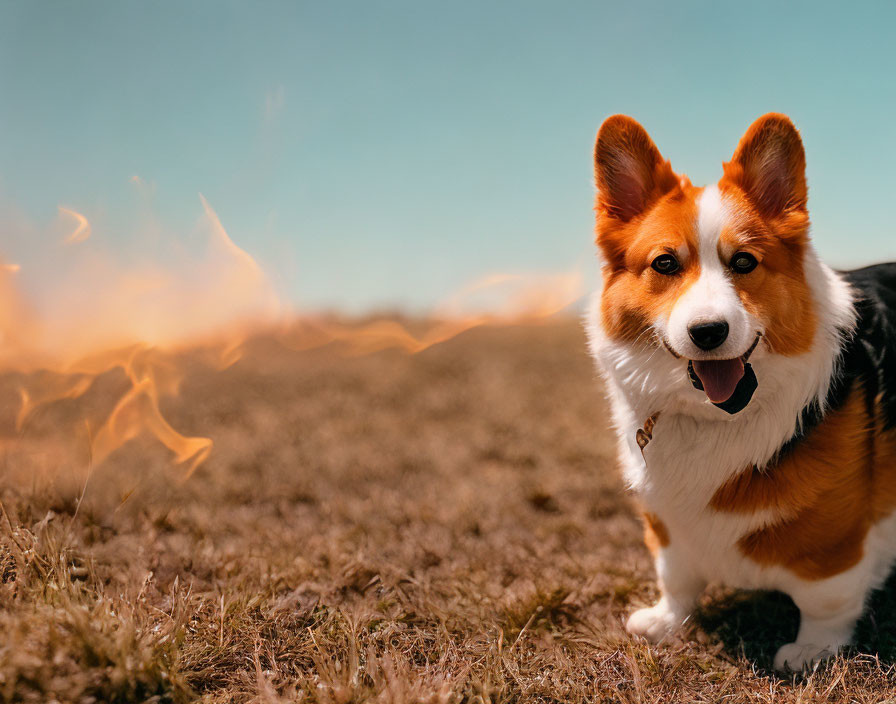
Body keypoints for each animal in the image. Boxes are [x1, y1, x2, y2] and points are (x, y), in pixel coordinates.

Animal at [584, 111, 892, 672]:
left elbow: (826, 600)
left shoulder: (837, 543)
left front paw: (811, 651)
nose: (708, 332)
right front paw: (665, 622)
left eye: (745, 262)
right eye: (664, 264)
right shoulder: (667, 523)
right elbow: (676, 577)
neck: (716, 417)